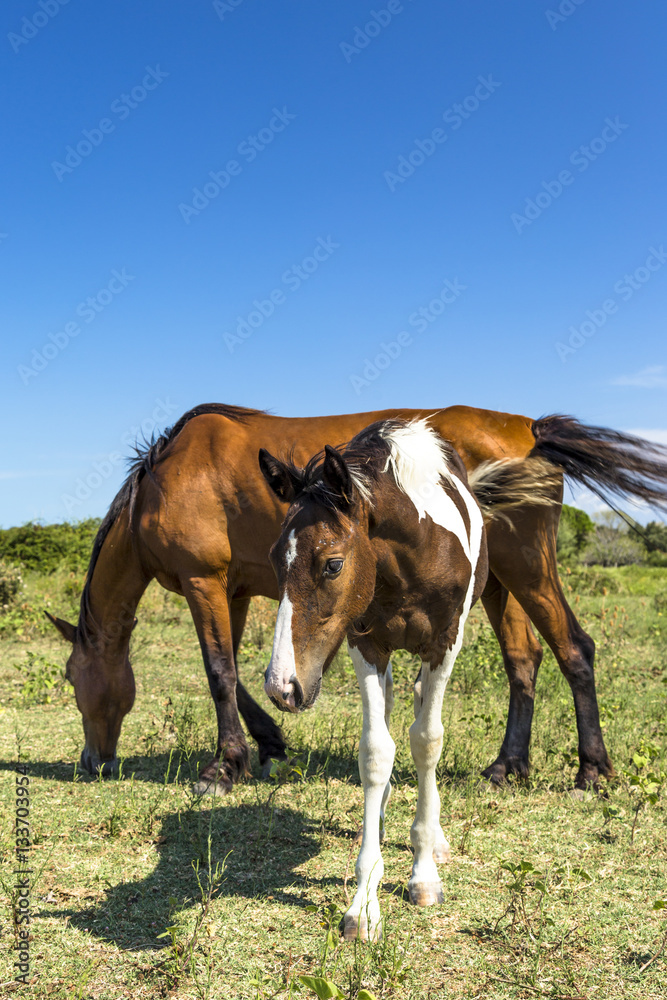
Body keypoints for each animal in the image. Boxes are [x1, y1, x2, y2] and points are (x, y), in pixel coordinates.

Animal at [47, 402, 667, 792]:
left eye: (75, 680)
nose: (91, 762)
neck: (162, 482)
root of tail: (532, 429)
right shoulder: (233, 589)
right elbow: (238, 674)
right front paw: (267, 746)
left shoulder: (205, 582)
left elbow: (219, 672)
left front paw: (224, 767)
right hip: (497, 584)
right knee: (524, 658)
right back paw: (507, 767)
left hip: (528, 570)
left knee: (574, 649)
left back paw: (591, 772)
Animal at [260, 416, 496, 936]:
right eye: (273, 559)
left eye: (332, 564)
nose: (282, 687)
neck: (413, 556)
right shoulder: (365, 642)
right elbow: (375, 751)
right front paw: (364, 902)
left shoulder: (445, 642)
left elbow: (427, 741)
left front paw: (423, 872)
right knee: (388, 712)